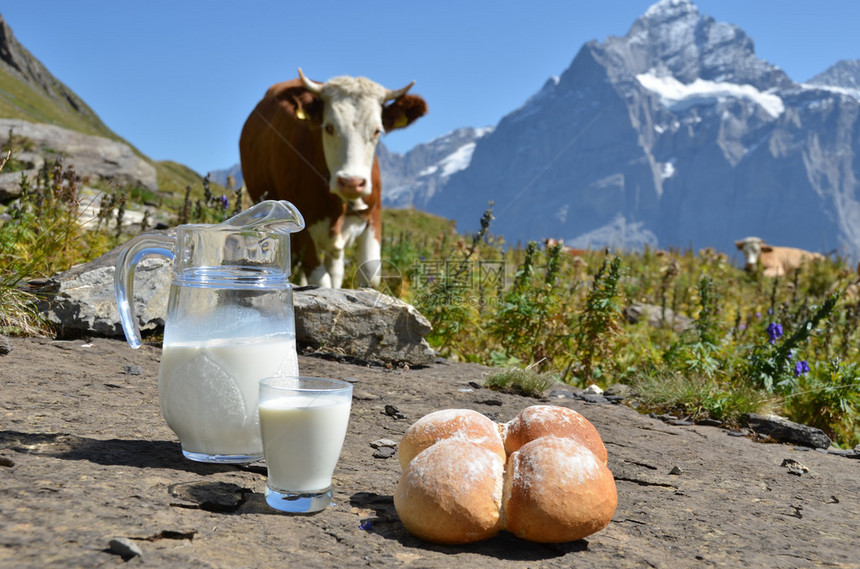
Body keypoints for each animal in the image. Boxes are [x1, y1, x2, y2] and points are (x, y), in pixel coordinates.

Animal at [239, 68, 426, 286]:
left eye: (377, 130)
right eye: (329, 127)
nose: (351, 183)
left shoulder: (374, 215)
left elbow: (370, 273)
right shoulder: (302, 232)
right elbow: (321, 281)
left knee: (336, 270)